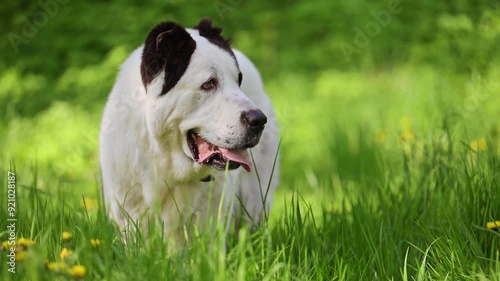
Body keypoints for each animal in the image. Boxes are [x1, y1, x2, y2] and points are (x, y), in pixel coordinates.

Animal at [99, 18, 280, 245]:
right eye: (209, 83)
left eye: (239, 82)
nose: (258, 120)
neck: (165, 158)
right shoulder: (128, 209)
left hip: (255, 196)